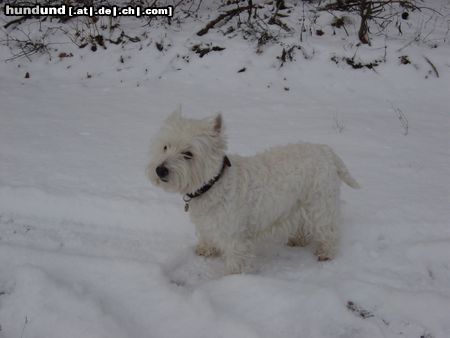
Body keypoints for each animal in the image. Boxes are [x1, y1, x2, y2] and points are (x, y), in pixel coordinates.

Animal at [148, 109, 358, 274]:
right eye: (165, 146)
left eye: (188, 154)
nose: (160, 170)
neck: (214, 183)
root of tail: (326, 151)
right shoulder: (208, 224)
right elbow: (208, 236)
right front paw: (205, 250)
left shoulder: (234, 235)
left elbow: (236, 260)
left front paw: (233, 279)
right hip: (298, 204)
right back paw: (297, 240)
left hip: (320, 203)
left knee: (329, 229)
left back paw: (326, 253)